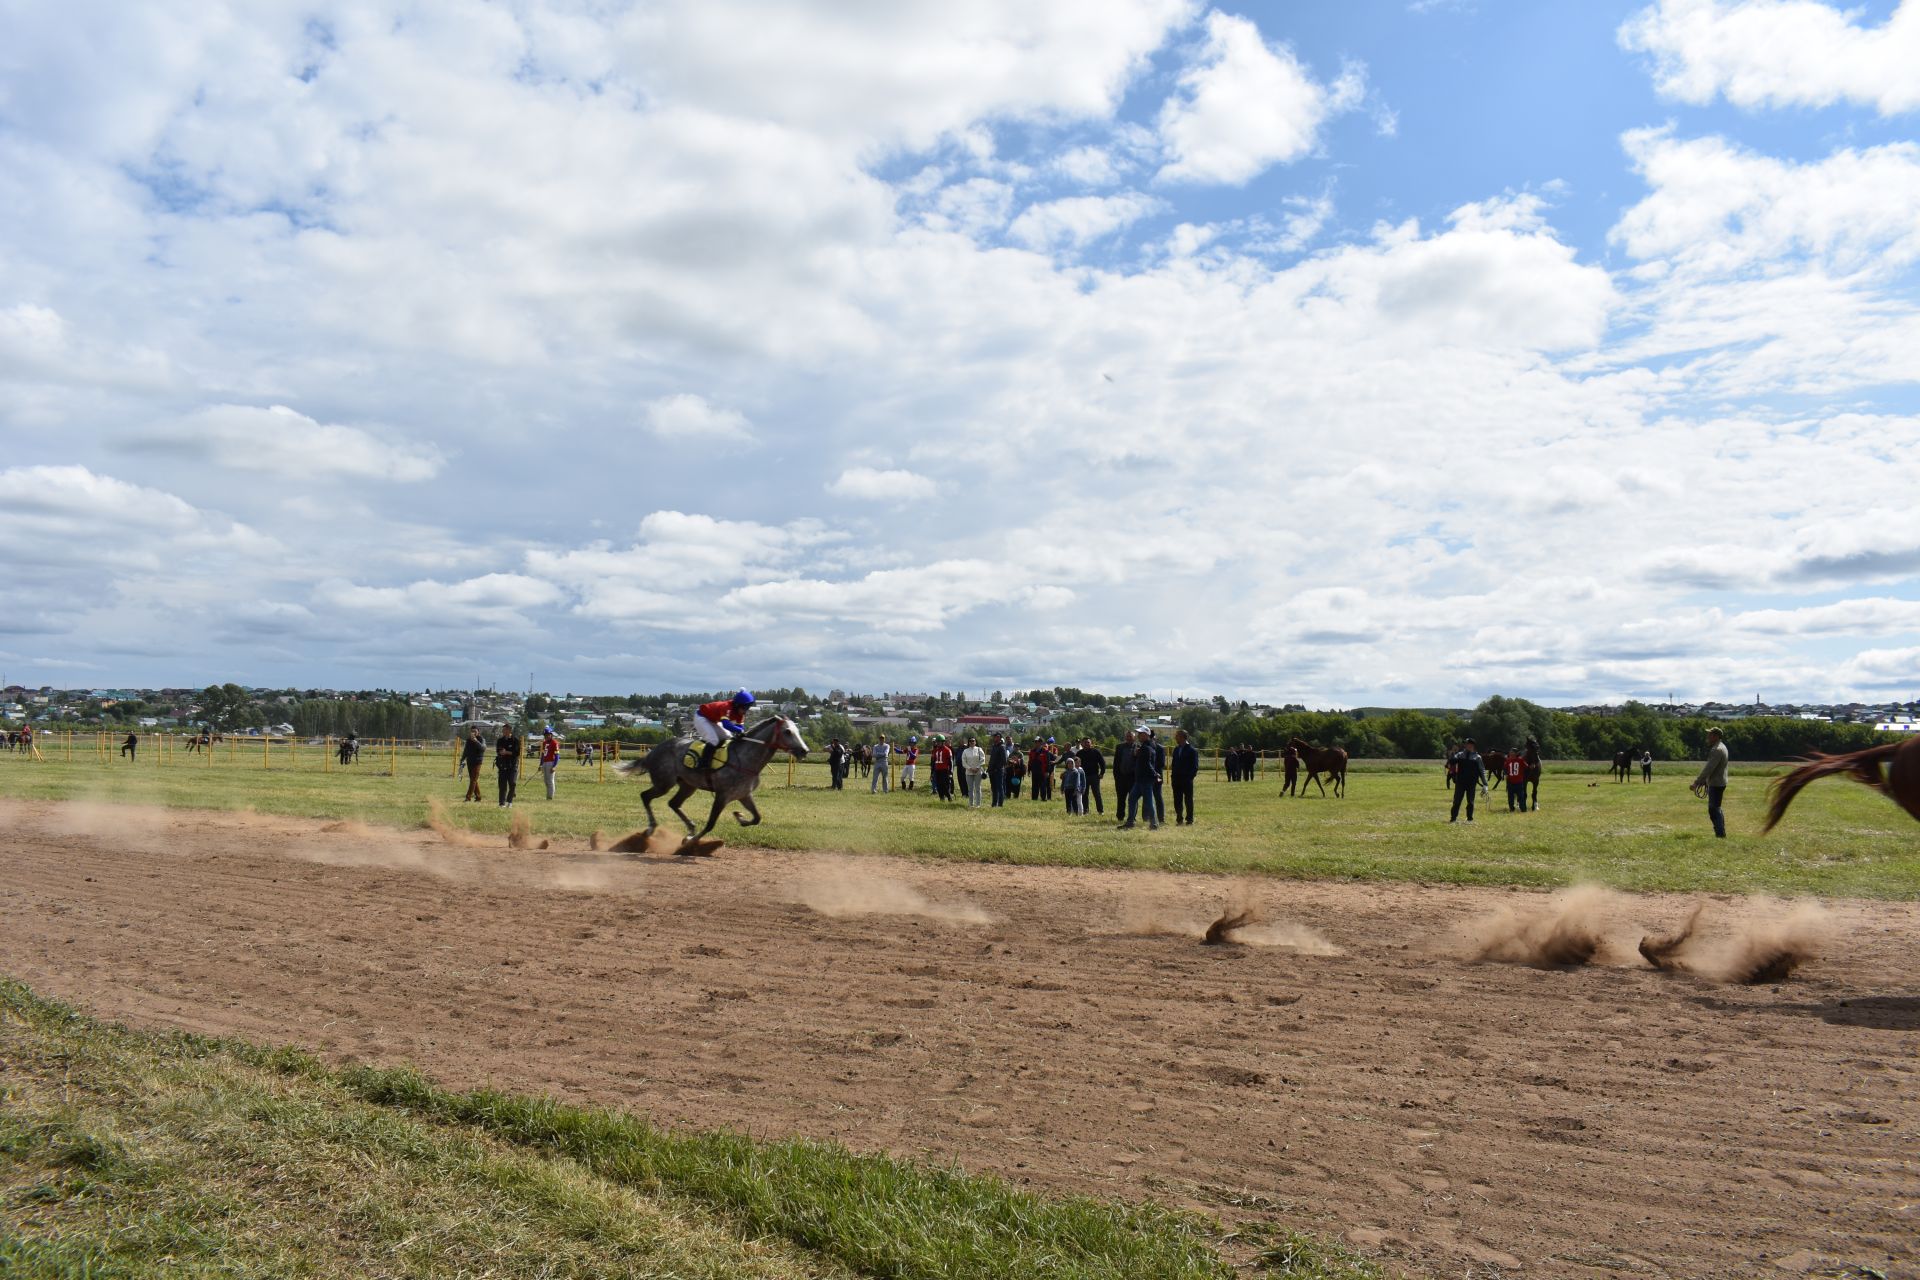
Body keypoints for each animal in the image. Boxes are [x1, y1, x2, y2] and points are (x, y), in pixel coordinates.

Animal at [622, 717, 810, 844]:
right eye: (787, 731)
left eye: (798, 731)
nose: (804, 750)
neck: (745, 758)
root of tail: (654, 750)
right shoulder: (722, 795)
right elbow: (711, 823)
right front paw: (691, 841)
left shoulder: (744, 795)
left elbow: (757, 817)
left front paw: (740, 816)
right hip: (664, 783)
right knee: (645, 796)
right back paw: (651, 829)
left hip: (687, 785)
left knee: (673, 803)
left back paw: (690, 828)